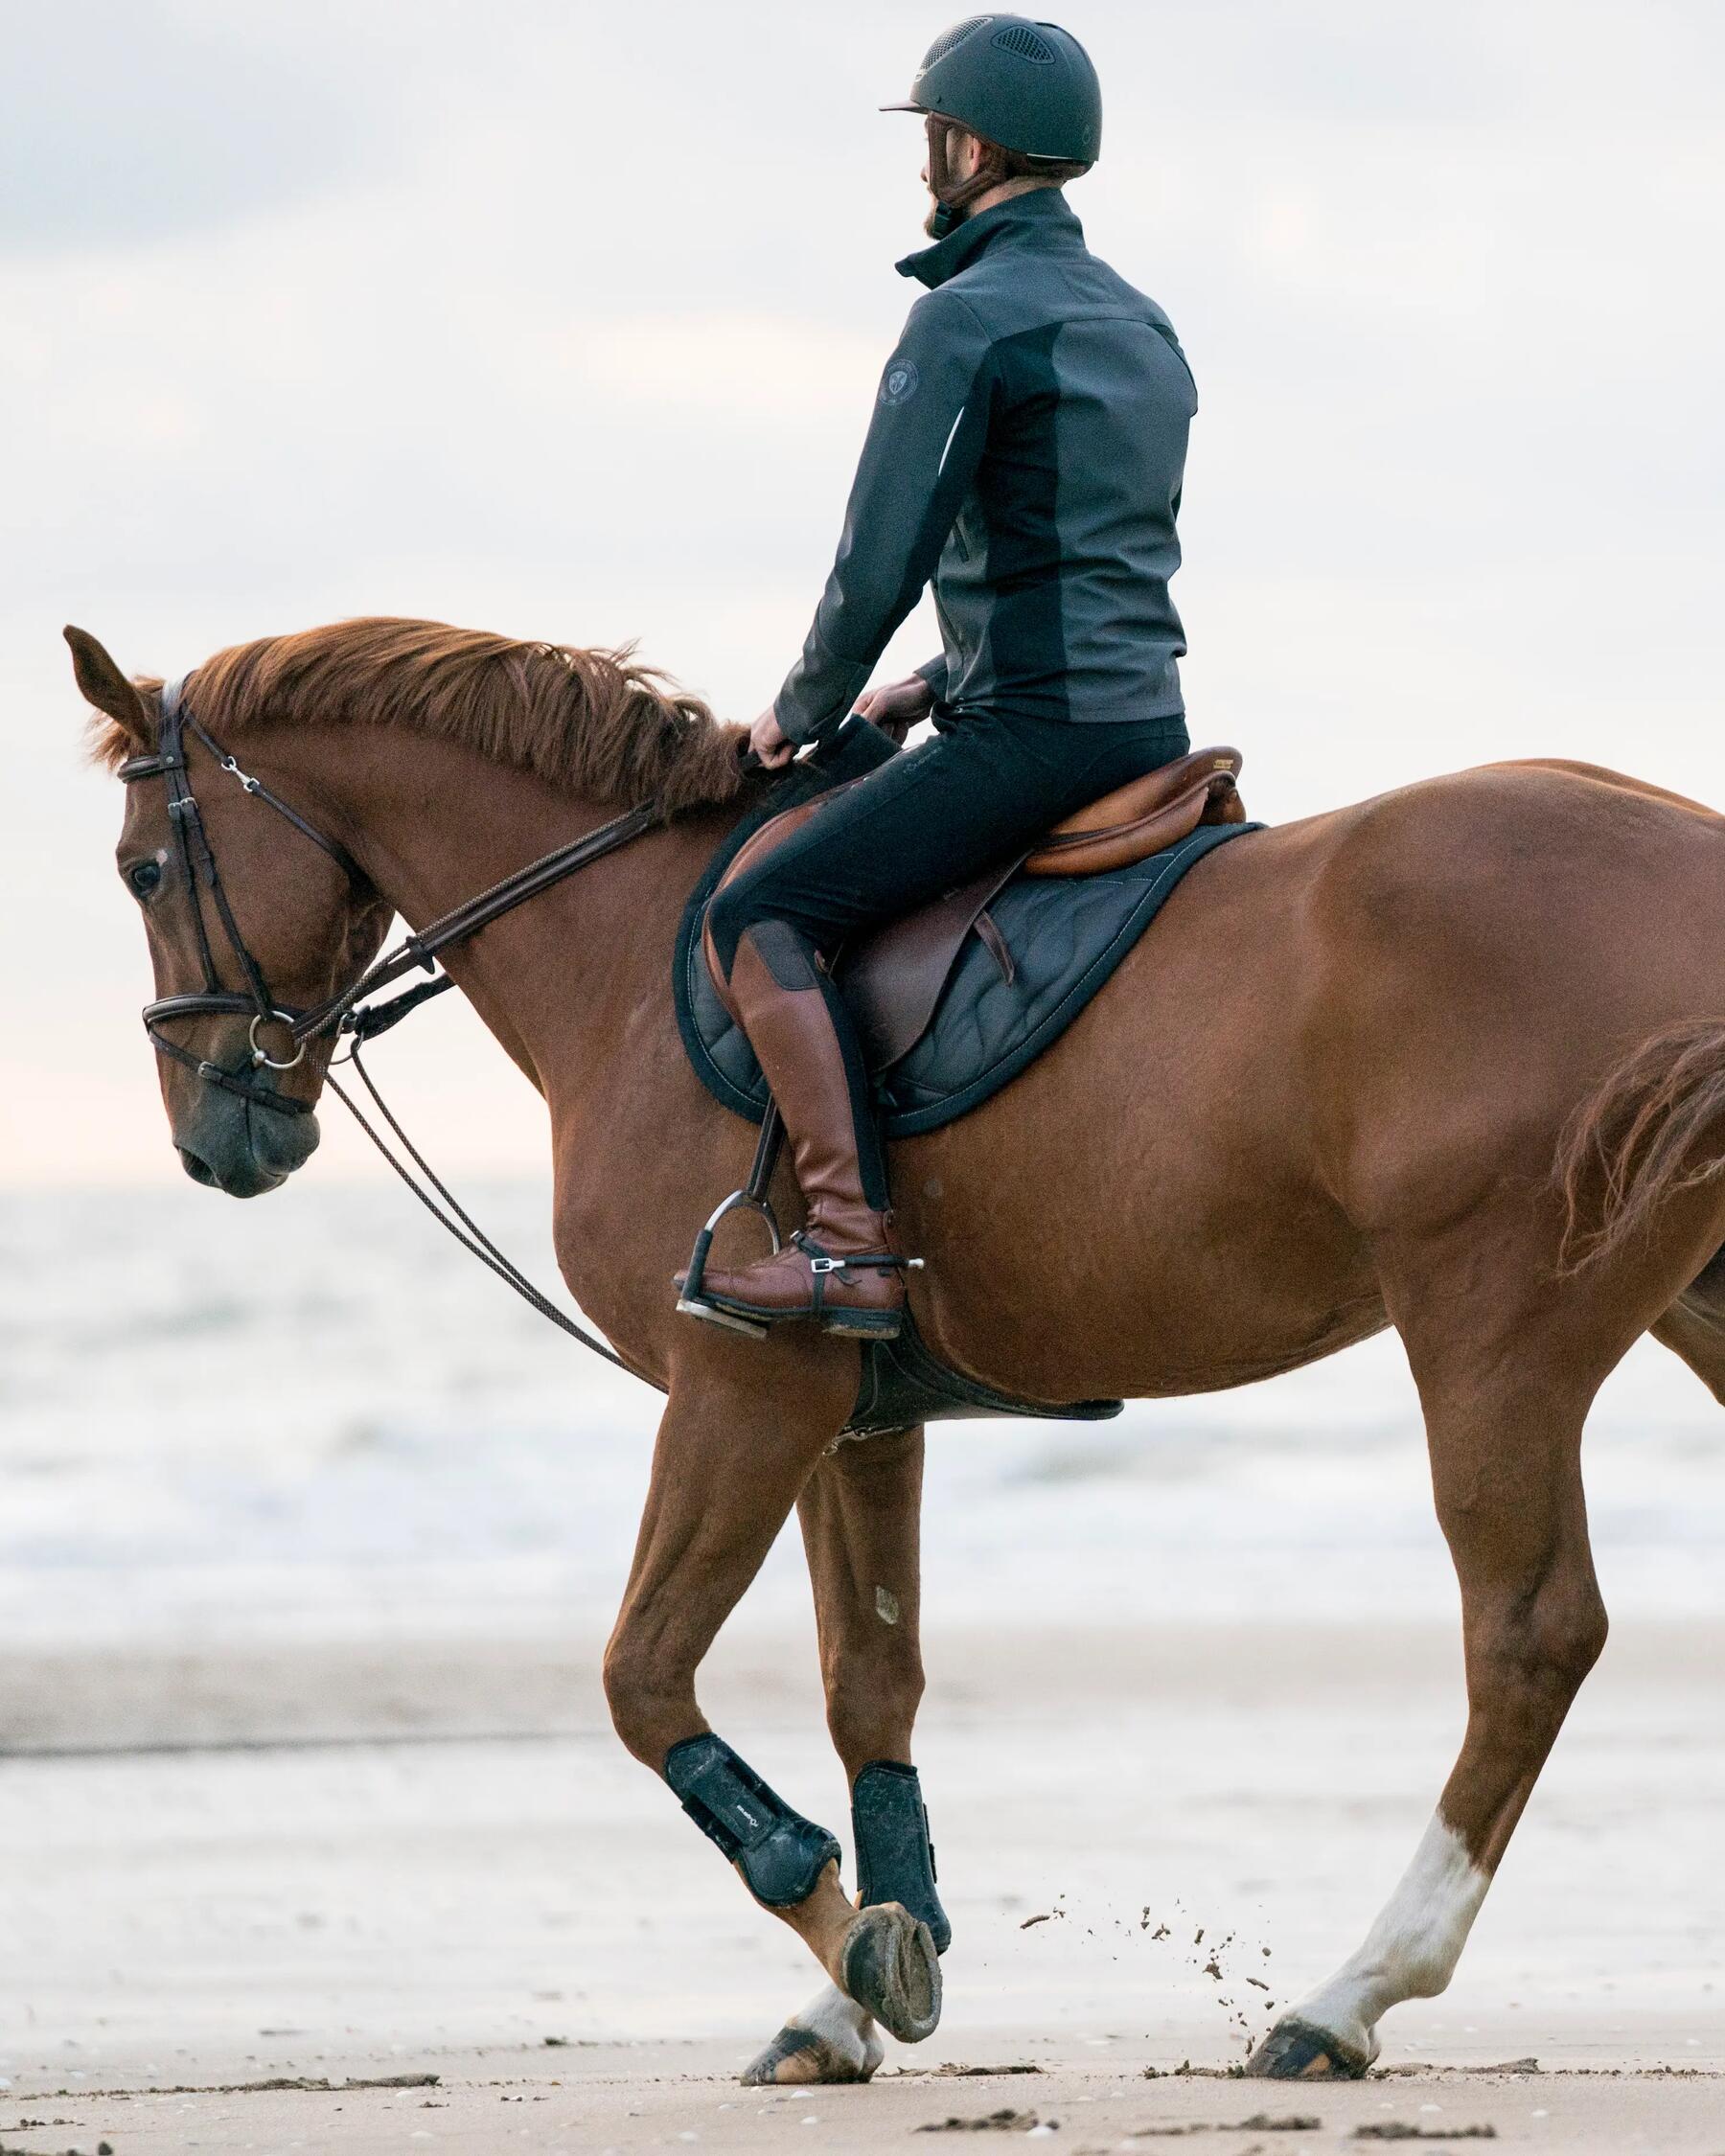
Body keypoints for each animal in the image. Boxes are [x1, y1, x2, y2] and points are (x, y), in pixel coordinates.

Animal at [70, 612, 1725, 2087]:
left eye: (143, 865)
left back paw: (1350, 1992)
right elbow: (869, 1679)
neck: (626, 943)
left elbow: (642, 1674)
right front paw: (863, 1975)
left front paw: (839, 1928)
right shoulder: (854, 1416)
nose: (218, 1137)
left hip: (1491, 1332)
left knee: (1529, 1634)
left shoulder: (741, 1391)